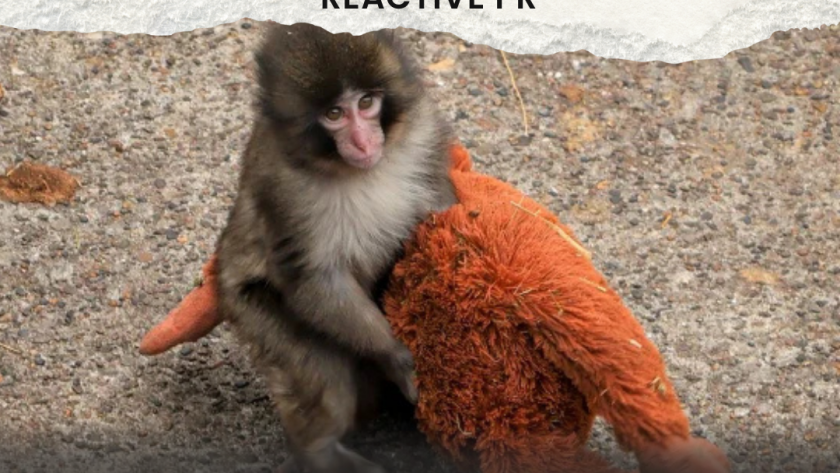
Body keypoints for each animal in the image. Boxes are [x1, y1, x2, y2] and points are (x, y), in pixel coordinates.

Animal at [215, 23, 458, 473]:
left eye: (365, 102)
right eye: (334, 115)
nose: (363, 142)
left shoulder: (424, 133)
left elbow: (441, 211)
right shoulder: (284, 189)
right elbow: (314, 280)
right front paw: (397, 356)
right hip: (250, 309)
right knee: (325, 376)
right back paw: (319, 451)